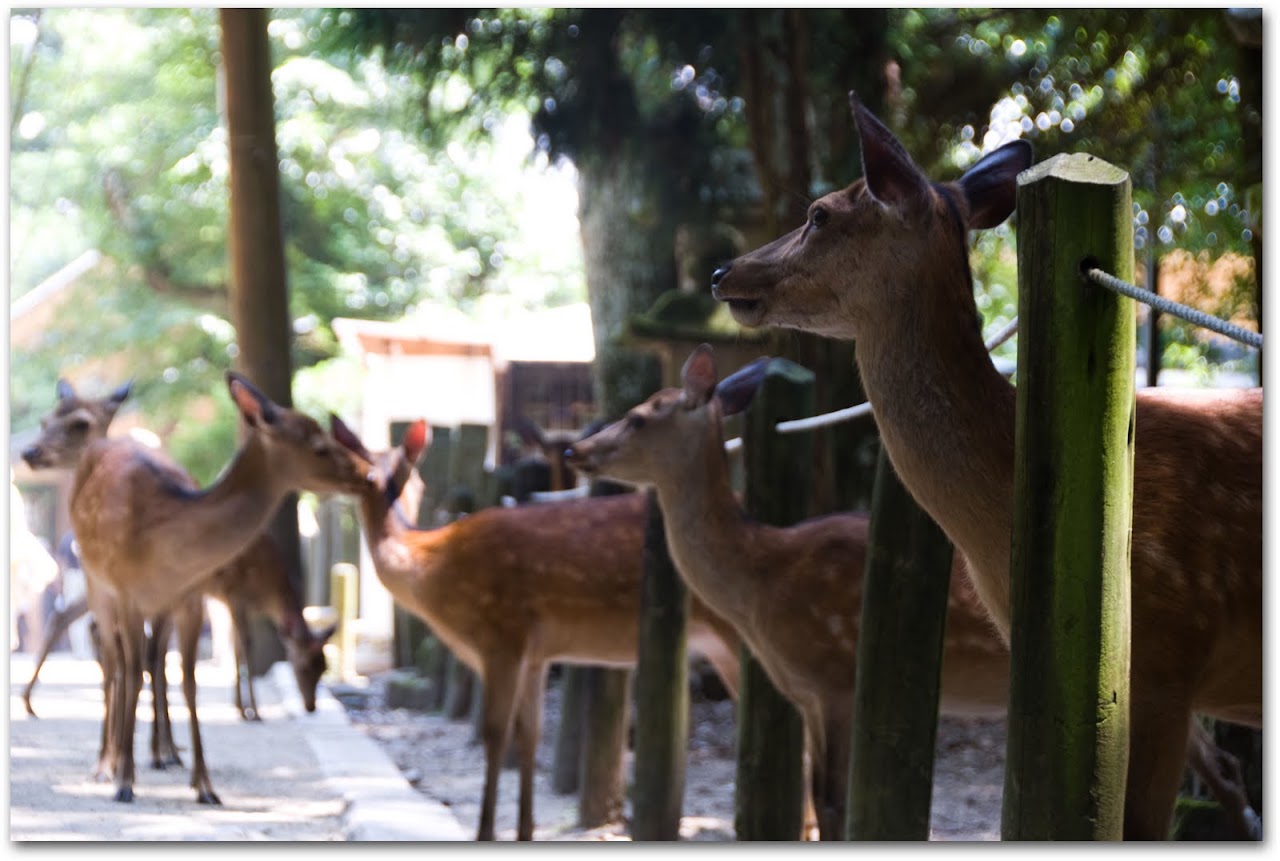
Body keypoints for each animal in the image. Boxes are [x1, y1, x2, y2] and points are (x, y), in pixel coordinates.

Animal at [20, 372, 373, 805]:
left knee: (140, 659)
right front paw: (125, 780)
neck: (163, 537)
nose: (368, 472)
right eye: (320, 446)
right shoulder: (129, 594)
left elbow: (188, 683)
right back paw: (104, 762)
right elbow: (133, 674)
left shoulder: (189, 600)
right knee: (113, 661)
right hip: (96, 583)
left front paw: (204, 785)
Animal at [327, 415, 744, 841]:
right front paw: (525, 831)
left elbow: (496, 733)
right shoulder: (535, 656)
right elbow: (529, 734)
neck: (432, 568)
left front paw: (485, 832)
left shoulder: (502, 635)